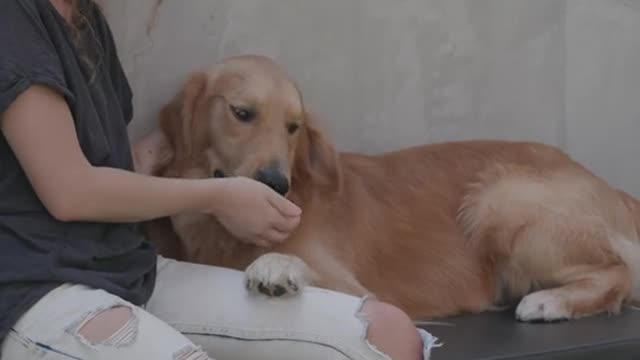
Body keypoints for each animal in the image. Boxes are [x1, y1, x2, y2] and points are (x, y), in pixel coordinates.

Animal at [148, 54, 640, 324]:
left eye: (293, 127)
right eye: (241, 113)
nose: (277, 184)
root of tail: (611, 187)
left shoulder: (358, 291)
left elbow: (296, 265)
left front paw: (277, 265)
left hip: (497, 200)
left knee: (619, 273)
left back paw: (549, 302)